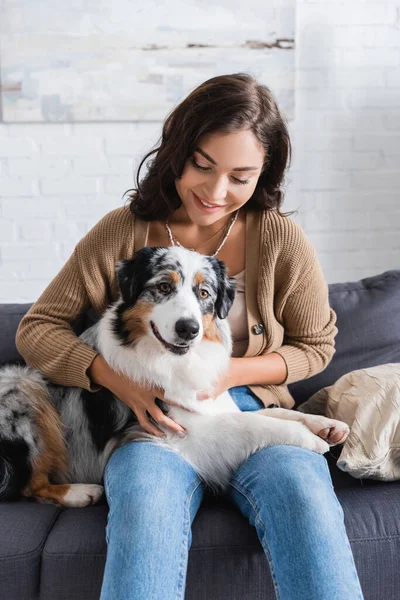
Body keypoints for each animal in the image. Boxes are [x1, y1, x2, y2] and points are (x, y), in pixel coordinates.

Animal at [0, 245, 350, 506]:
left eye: (204, 293)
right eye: (164, 287)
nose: (188, 328)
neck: (176, 362)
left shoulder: (214, 405)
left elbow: (274, 413)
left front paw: (326, 425)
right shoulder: (182, 433)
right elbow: (253, 423)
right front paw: (309, 438)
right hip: (20, 383)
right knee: (30, 486)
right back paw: (80, 492)